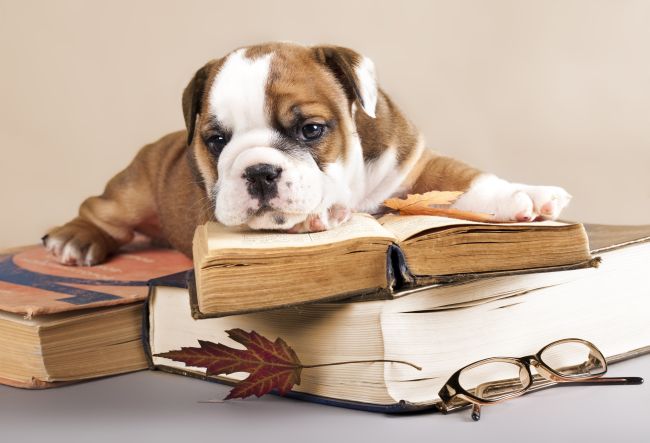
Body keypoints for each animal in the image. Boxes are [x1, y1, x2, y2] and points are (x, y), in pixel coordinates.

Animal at [44, 43, 568, 268]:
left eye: (311, 130)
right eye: (216, 141)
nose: (258, 172)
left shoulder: (414, 164)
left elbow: (465, 179)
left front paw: (522, 195)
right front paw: (313, 217)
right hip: (132, 190)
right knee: (101, 211)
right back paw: (75, 239)